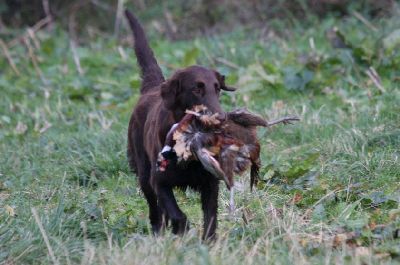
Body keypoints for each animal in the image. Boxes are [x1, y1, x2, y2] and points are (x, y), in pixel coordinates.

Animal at [126, 10, 234, 239]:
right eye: (196, 89)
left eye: (217, 88)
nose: (221, 118)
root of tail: (152, 87)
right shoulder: (159, 180)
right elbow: (177, 213)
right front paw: (181, 230)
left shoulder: (210, 182)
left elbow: (210, 217)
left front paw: (208, 242)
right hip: (143, 172)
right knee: (155, 211)